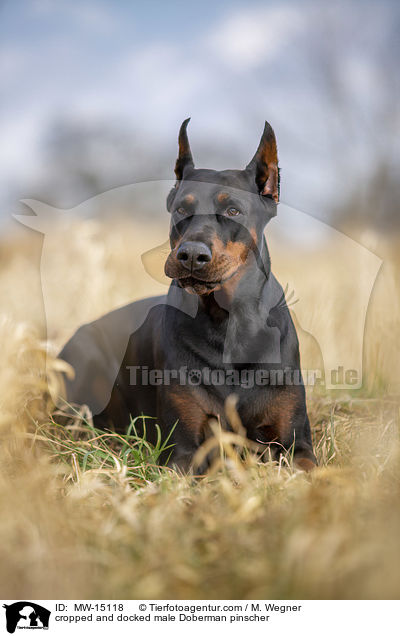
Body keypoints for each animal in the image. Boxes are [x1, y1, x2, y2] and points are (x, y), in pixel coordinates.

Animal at [59, 119, 318, 472]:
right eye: (182, 208)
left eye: (233, 210)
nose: (192, 255)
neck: (226, 323)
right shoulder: (182, 450)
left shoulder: (297, 445)